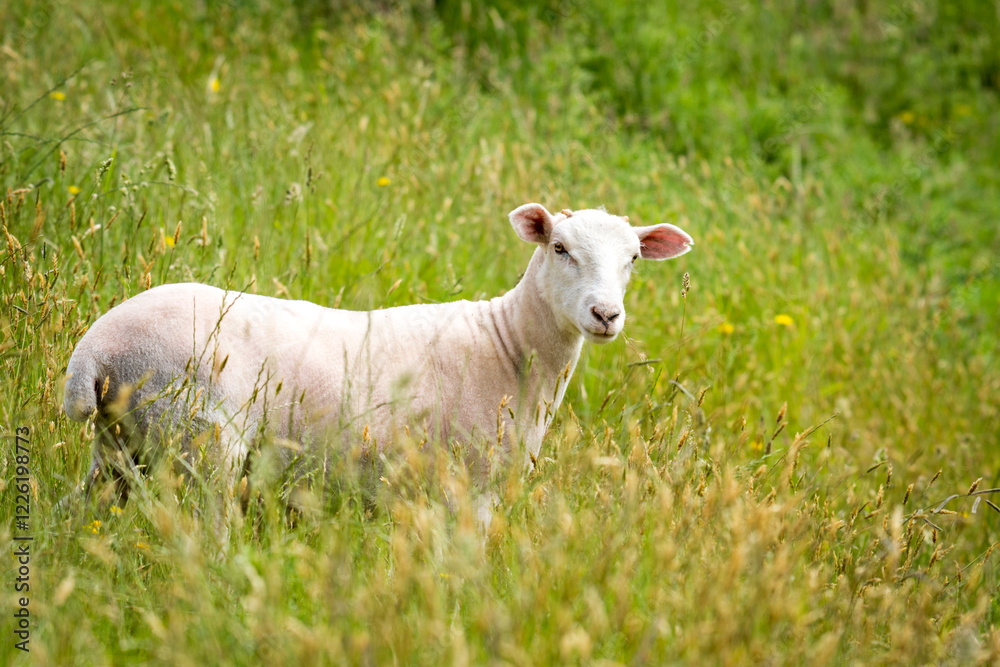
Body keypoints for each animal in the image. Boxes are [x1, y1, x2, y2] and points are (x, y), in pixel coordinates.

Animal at [63, 203, 693, 526]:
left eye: (634, 259)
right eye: (559, 249)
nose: (606, 314)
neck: (509, 346)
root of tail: (94, 350)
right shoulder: (468, 482)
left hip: (121, 444)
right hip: (199, 440)